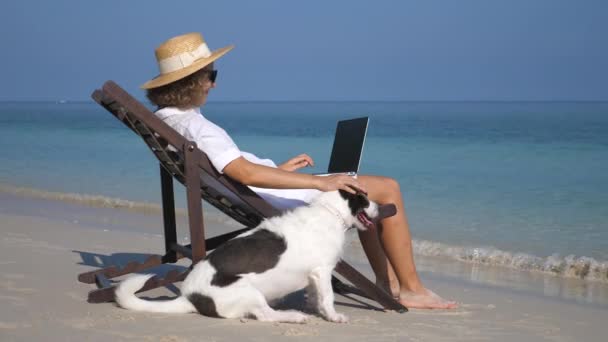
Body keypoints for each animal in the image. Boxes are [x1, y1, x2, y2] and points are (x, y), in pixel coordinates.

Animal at [116, 190, 378, 324]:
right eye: (366, 199)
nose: (381, 206)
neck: (330, 212)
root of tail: (190, 298)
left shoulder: (314, 276)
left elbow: (316, 296)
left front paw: (318, 310)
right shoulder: (322, 271)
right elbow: (328, 297)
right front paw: (333, 316)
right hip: (248, 290)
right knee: (264, 316)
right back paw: (292, 316)